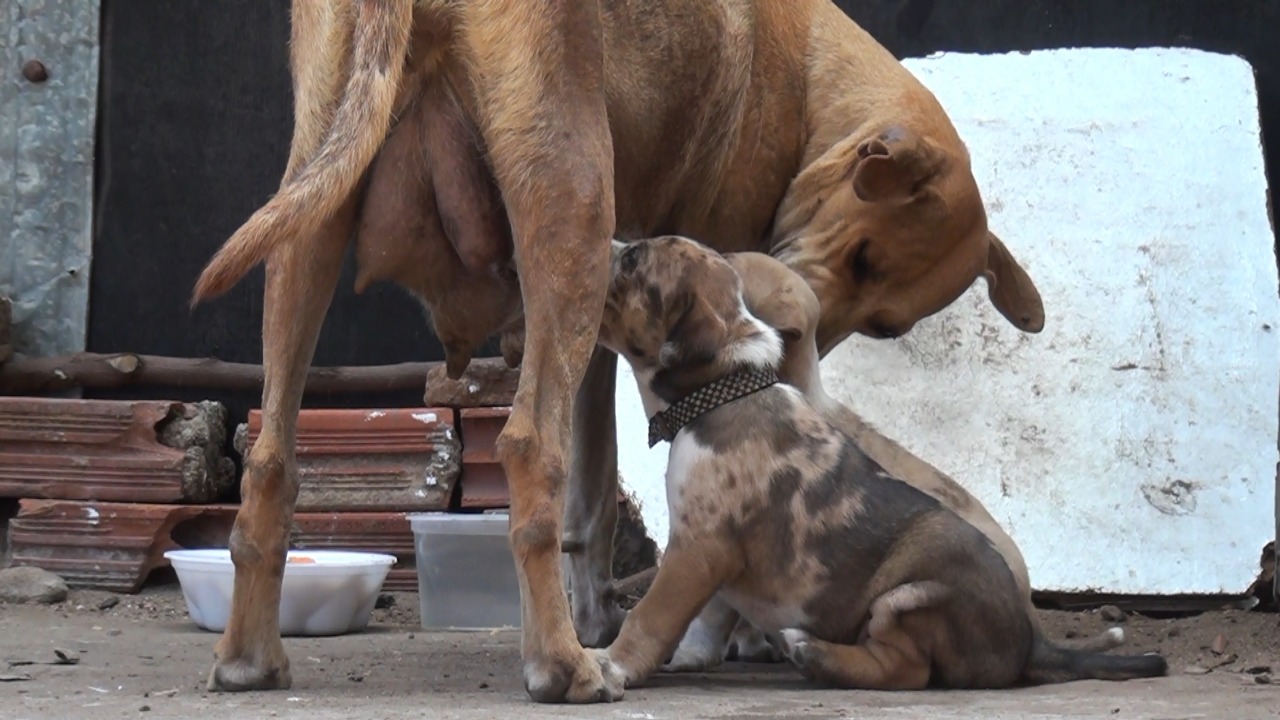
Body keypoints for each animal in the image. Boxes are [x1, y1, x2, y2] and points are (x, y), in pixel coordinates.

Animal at [192, 0, 1049, 696]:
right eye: (865, 256)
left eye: (886, 326)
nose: (792, 338)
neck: (809, 82)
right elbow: (598, 492)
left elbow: (593, 496)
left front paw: (605, 612)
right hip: (569, 205)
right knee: (528, 445)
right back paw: (560, 666)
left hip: (309, 220)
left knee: (271, 458)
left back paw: (249, 660)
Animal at [591, 237, 1172, 691]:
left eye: (634, 259)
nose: (606, 239)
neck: (722, 391)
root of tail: (1031, 643)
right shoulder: (714, 556)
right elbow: (707, 617)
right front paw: (688, 656)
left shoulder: (700, 548)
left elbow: (652, 616)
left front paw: (612, 666)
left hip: (907, 597)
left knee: (905, 669)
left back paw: (813, 652)